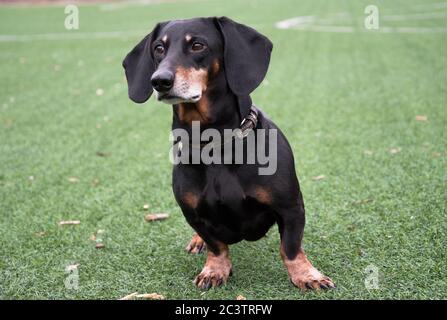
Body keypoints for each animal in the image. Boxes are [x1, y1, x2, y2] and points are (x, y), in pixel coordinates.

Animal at [124, 16, 334, 290]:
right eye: (159, 48)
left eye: (198, 45)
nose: (160, 80)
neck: (217, 145)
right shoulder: (192, 214)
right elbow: (216, 245)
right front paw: (214, 270)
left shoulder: (291, 207)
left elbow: (290, 247)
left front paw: (307, 275)